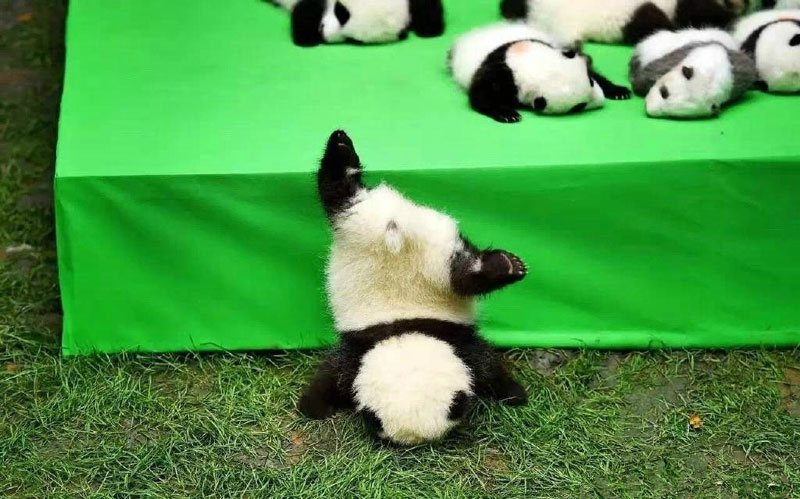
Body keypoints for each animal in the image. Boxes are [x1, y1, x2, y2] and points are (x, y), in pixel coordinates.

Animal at [296, 129, 528, 446]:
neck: (406, 331)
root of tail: (394, 231)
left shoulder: (454, 341)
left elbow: (488, 368)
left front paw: (514, 394)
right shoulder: (359, 352)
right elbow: (329, 377)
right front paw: (312, 406)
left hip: (424, 252)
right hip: (363, 226)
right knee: (338, 192)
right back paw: (341, 147)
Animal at [450, 23, 632, 124]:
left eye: (591, 82)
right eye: (579, 106)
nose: (601, 101)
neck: (530, 62)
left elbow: (593, 69)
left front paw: (618, 91)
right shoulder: (501, 73)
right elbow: (481, 95)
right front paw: (508, 114)